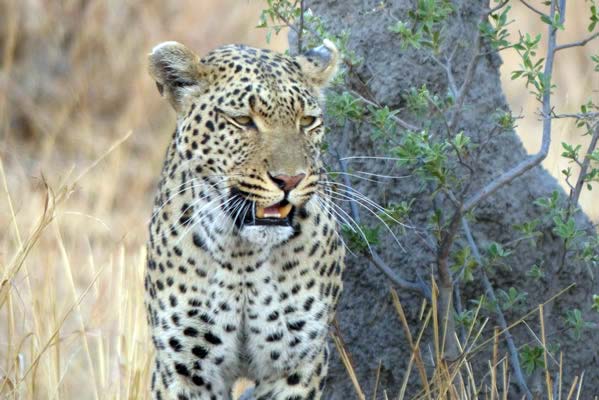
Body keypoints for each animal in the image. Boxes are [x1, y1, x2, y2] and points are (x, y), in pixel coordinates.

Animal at [145, 39, 346, 400]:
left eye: (307, 121)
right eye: (242, 120)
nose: (290, 180)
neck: (242, 258)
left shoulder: (296, 364)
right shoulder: (186, 368)